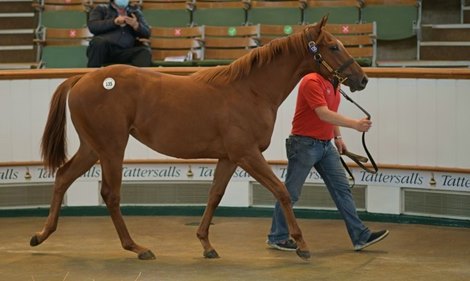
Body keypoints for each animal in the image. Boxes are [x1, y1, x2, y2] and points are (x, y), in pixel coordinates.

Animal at [30, 16, 368, 260]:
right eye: (334, 46)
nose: (361, 79)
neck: (251, 90)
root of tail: (82, 78)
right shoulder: (247, 154)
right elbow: (282, 192)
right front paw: (301, 244)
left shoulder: (229, 158)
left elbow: (215, 195)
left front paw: (206, 244)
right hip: (112, 148)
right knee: (110, 195)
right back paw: (137, 248)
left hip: (93, 147)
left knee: (63, 177)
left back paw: (41, 235)